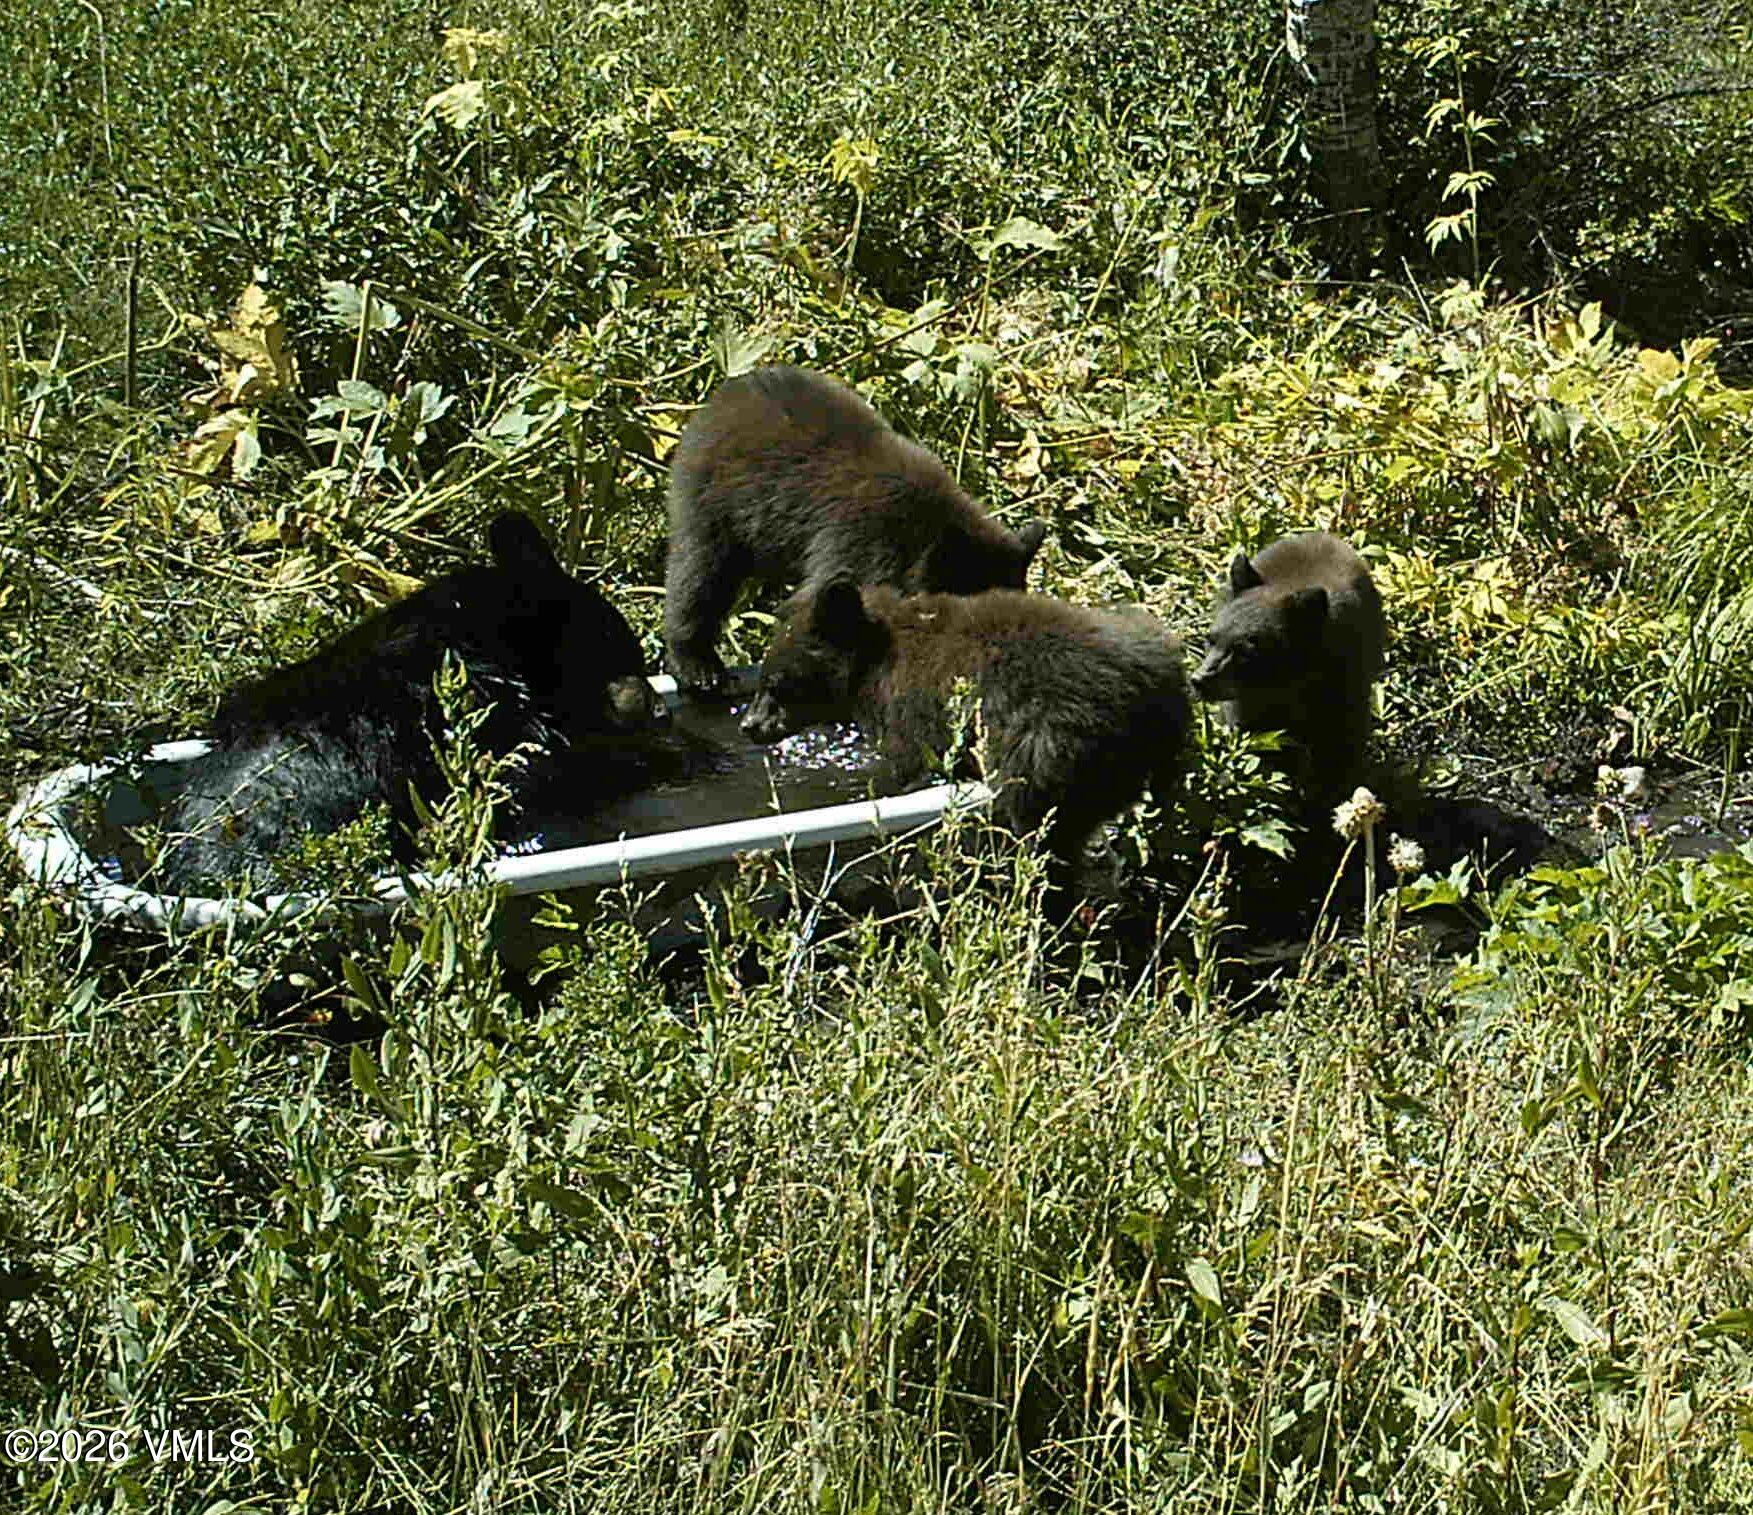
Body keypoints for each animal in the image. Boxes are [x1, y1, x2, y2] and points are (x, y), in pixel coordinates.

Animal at [738, 578, 1191, 904]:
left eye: (775, 684)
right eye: (763, 681)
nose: (748, 725)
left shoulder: (913, 717)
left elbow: (912, 766)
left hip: (1045, 752)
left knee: (1042, 833)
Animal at [1187, 531, 1385, 802]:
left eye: (1245, 651)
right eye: (1210, 639)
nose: (1198, 680)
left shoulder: (1342, 688)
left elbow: (1339, 751)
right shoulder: (1248, 705)